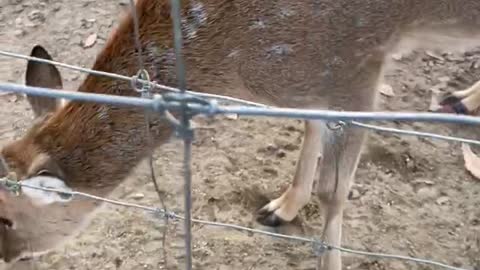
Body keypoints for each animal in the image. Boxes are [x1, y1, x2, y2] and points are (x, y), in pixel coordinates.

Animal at [0, 0, 480, 270]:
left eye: (6, 218)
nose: (5, 257)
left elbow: (334, 192)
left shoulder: (358, 68)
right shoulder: (314, 84)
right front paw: (281, 207)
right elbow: (309, 123)